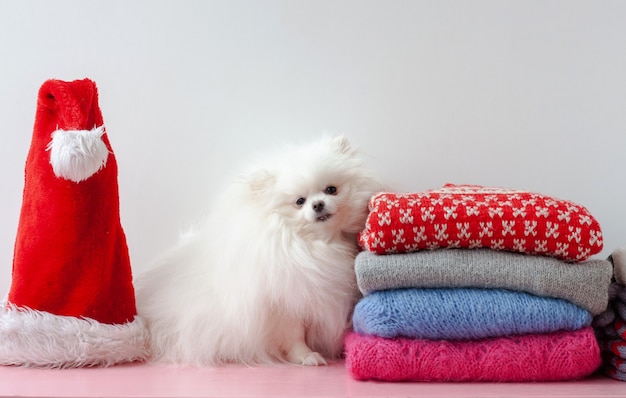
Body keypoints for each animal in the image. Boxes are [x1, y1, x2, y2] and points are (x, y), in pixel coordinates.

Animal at [135, 135, 380, 366]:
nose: (318, 204)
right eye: (299, 201)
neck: (314, 244)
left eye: (331, 189)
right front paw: (306, 356)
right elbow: (294, 335)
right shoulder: (284, 304)